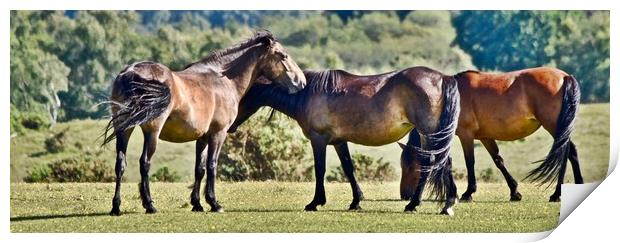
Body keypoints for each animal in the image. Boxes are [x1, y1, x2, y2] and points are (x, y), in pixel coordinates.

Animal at [103, 30, 306, 215]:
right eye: (283, 55)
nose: (301, 82)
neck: (223, 79)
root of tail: (130, 72)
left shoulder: (202, 137)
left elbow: (199, 169)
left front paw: (197, 204)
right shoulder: (218, 133)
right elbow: (212, 165)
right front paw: (214, 203)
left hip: (124, 129)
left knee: (120, 164)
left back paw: (116, 207)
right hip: (152, 132)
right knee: (145, 163)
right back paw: (150, 205)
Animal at [230, 67, 462, 215]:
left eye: (240, 97)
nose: (229, 125)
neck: (307, 94)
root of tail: (443, 78)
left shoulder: (319, 140)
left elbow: (320, 170)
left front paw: (315, 202)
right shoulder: (339, 142)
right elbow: (349, 169)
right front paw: (356, 201)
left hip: (428, 133)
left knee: (431, 163)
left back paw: (414, 204)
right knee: (445, 163)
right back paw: (447, 204)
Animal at [400, 66, 584, 201]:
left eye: (410, 166)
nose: (404, 195)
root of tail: (565, 77)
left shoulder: (466, 135)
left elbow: (470, 162)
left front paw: (468, 193)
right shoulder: (485, 137)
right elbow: (498, 160)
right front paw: (514, 192)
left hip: (554, 126)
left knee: (566, 152)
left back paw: (556, 194)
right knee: (570, 152)